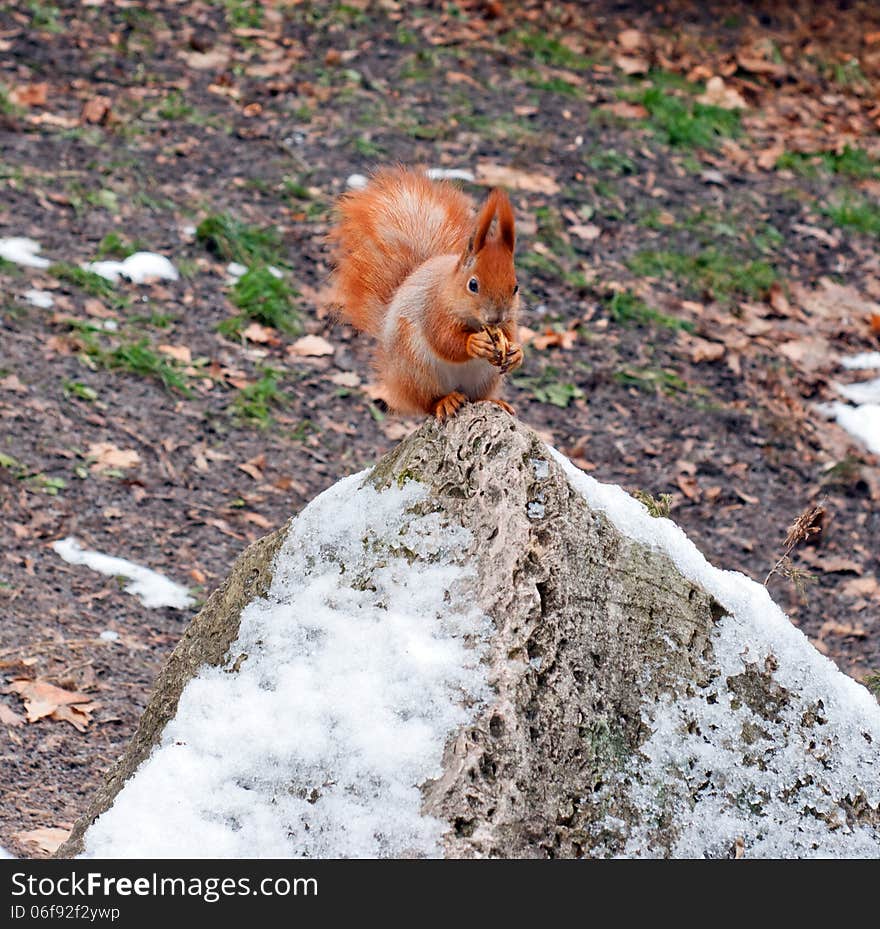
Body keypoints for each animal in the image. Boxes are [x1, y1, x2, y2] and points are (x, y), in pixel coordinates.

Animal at [330, 165, 524, 418]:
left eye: (516, 287)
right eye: (473, 285)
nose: (495, 317)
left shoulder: (508, 321)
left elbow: (511, 334)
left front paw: (516, 353)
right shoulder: (433, 308)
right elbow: (443, 340)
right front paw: (474, 343)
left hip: (485, 378)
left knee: (477, 397)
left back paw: (494, 401)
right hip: (418, 371)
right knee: (427, 403)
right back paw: (446, 401)